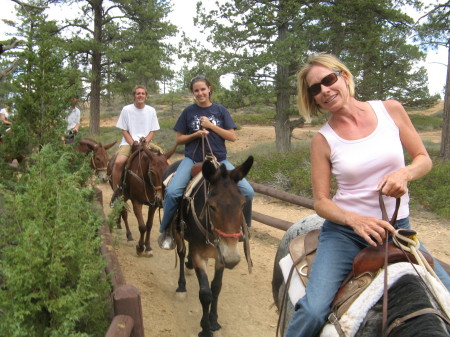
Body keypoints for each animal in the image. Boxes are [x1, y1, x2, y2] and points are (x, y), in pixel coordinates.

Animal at [170, 156, 253, 336]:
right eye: (212, 206)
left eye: (243, 204)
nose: (232, 258)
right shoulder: (199, 255)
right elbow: (205, 293)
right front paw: (205, 328)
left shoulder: (220, 256)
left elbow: (216, 288)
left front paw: (213, 321)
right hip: (178, 232)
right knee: (181, 252)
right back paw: (181, 286)